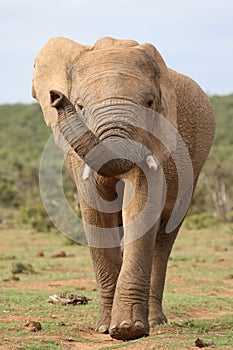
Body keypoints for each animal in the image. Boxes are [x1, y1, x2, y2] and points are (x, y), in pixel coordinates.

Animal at [32, 36, 215, 340]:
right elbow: (97, 214)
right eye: (80, 107)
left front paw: (128, 330)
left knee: (164, 237)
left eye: (150, 103)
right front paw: (105, 328)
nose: (56, 97)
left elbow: (142, 204)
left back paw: (156, 321)